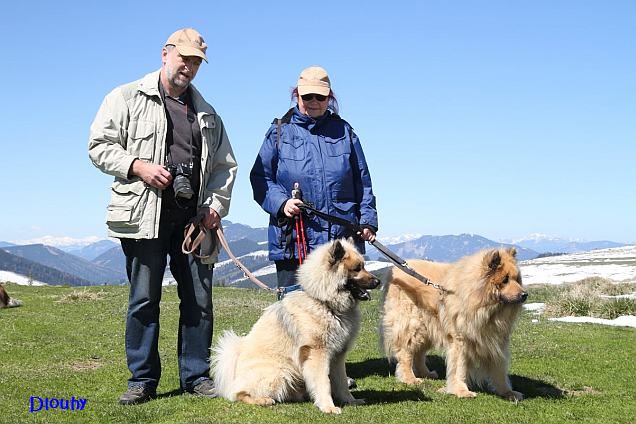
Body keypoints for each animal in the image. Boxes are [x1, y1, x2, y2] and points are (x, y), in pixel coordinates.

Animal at [214, 238, 380, 414]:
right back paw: (262, 400)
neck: (322, 301)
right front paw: (328, 406)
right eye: (357, 268)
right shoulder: (317, 352)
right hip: (280, 372)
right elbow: (324, 382)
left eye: (364, 265)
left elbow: (341, 382)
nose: (378, 281)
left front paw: (350, 401)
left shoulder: (338, 355)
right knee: (239, 394)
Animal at [382, 247, 528, 400]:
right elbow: (459, 368)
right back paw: (410, 378)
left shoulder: (495, 340)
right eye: (505, 280)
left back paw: (426, 373)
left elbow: (499, 370)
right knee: (406, 354)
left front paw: (507, 392)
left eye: (517, 279)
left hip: (427, 330)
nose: (525, 295)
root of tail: (394, 271)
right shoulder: (460, 341)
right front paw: (461, 391)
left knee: (418, 354)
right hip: (413, 327)